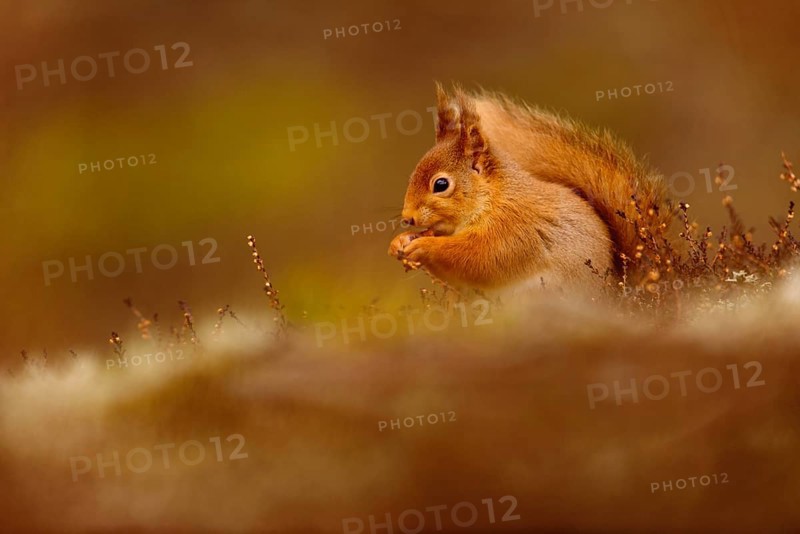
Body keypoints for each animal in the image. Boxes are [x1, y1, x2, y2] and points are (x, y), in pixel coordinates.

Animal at [388, 83, 670, 292]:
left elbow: (477, 259)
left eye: (441, 184)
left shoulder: (512, 230)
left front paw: (425, 247)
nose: (407, 218)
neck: (492, 199)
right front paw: (400, 241)